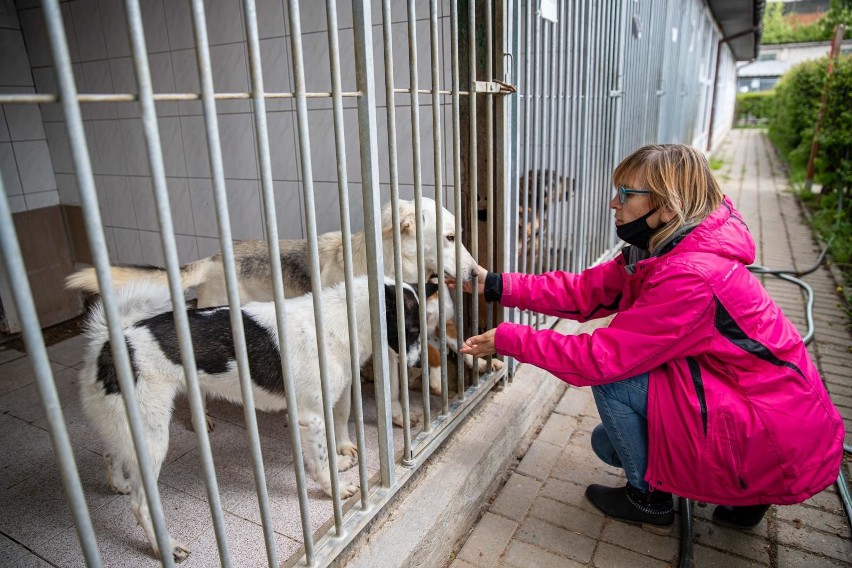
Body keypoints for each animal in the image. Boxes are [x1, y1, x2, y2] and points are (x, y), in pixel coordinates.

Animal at [81, 274, 422, 560]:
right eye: (413, 330)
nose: (419, 365)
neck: (341, 320)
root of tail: (110, 342)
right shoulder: (309, 416)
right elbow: (320, 461)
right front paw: (333, 489)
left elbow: (330, 440)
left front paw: (339, 461)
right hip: (152, 436)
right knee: (141, 505)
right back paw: (166, 546)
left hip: (128, 425)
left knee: (110, 452)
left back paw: (119, 484)